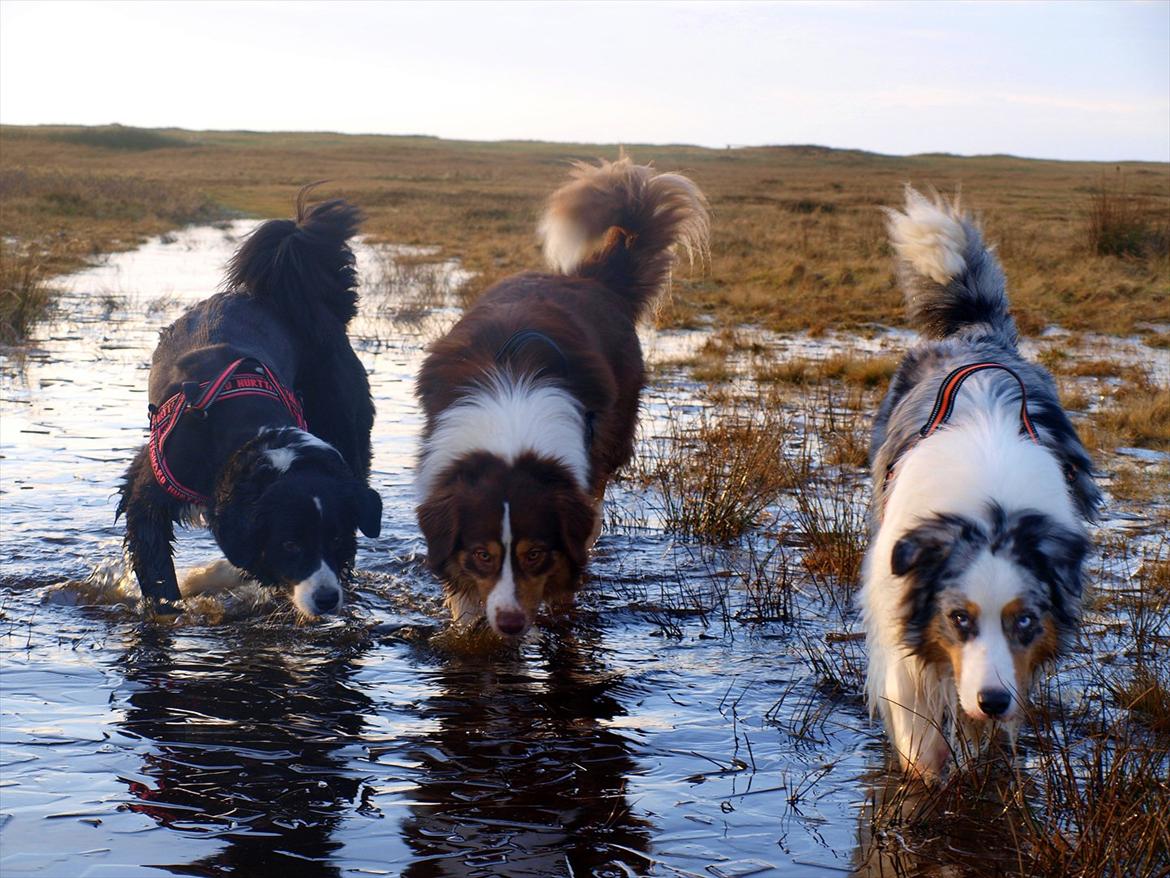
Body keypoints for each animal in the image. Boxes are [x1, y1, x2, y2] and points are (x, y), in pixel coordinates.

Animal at [117, 190, 379, 618]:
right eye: (290, 544)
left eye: (337, 539)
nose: (326, 600)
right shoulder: (150, 489)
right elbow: (157, 571)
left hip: (347, 429)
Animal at [861, 189, 1095, 782]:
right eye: (958, 618)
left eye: (1025, 621)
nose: (993, 701)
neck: (990, 509)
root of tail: (976, 335)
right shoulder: (899, 613)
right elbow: (918, 728)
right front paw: (928, 775)